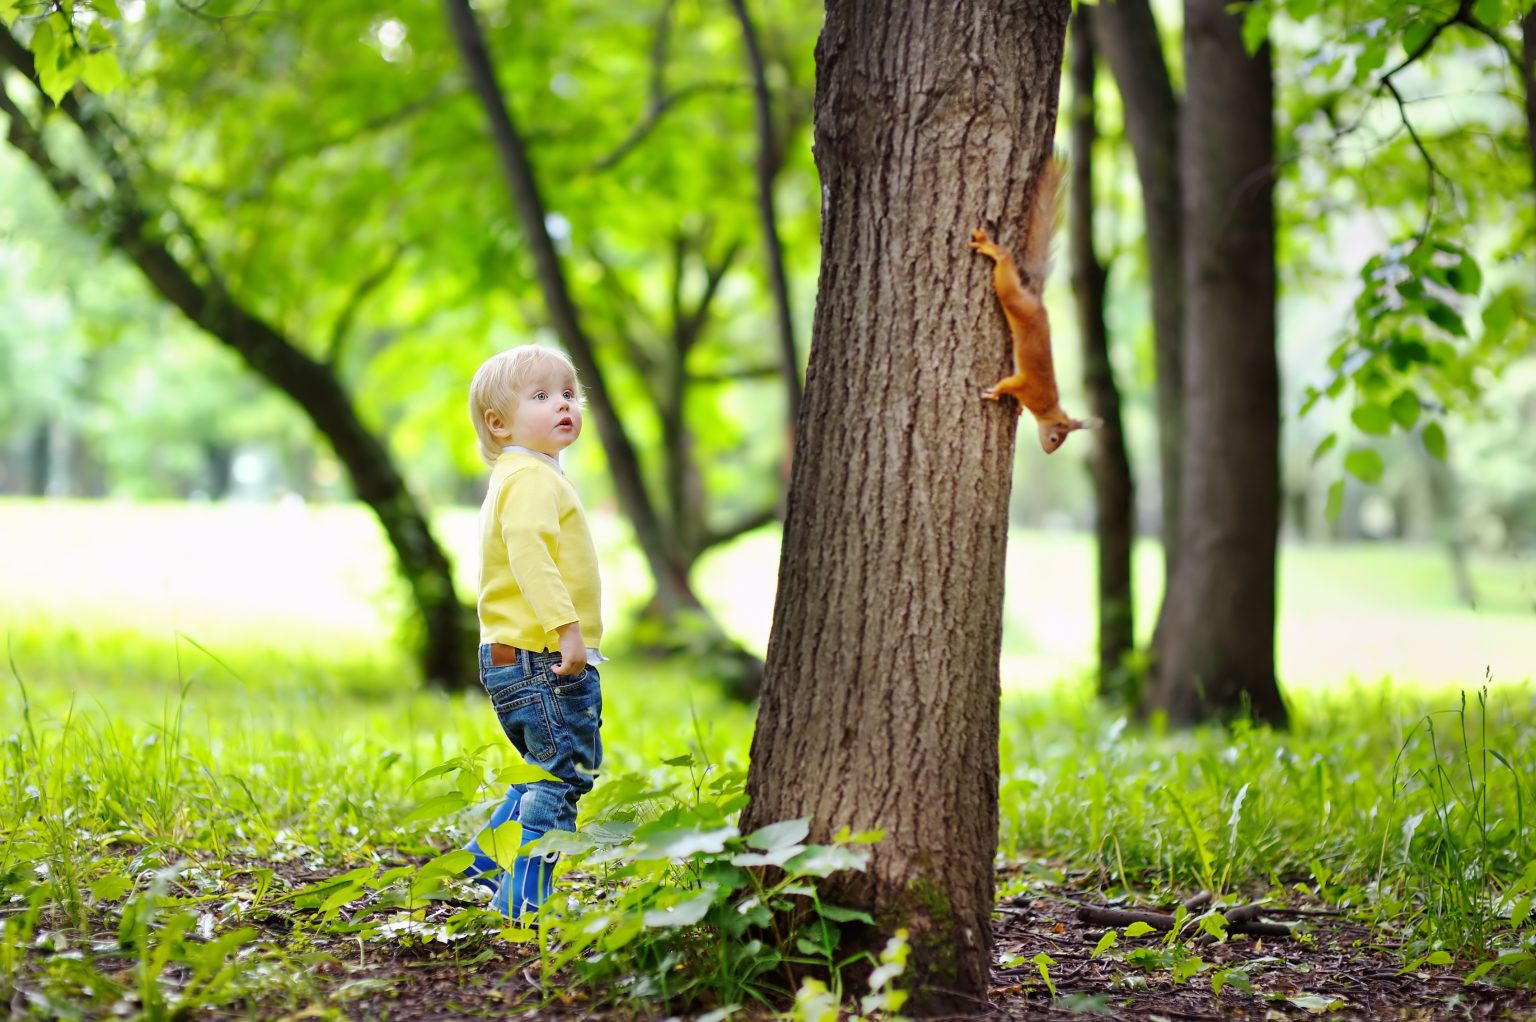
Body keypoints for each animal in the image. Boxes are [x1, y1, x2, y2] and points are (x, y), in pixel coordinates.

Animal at [970, 156, 1100, 454]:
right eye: (1055, 439)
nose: (1048, 451)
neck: (1048, 408)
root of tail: (1037, 301)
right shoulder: (1026, 385)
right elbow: (1008, 383)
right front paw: (995, 393)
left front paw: (1016, 408)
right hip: (1013, 298)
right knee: (1005, 266)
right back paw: (993, 249)